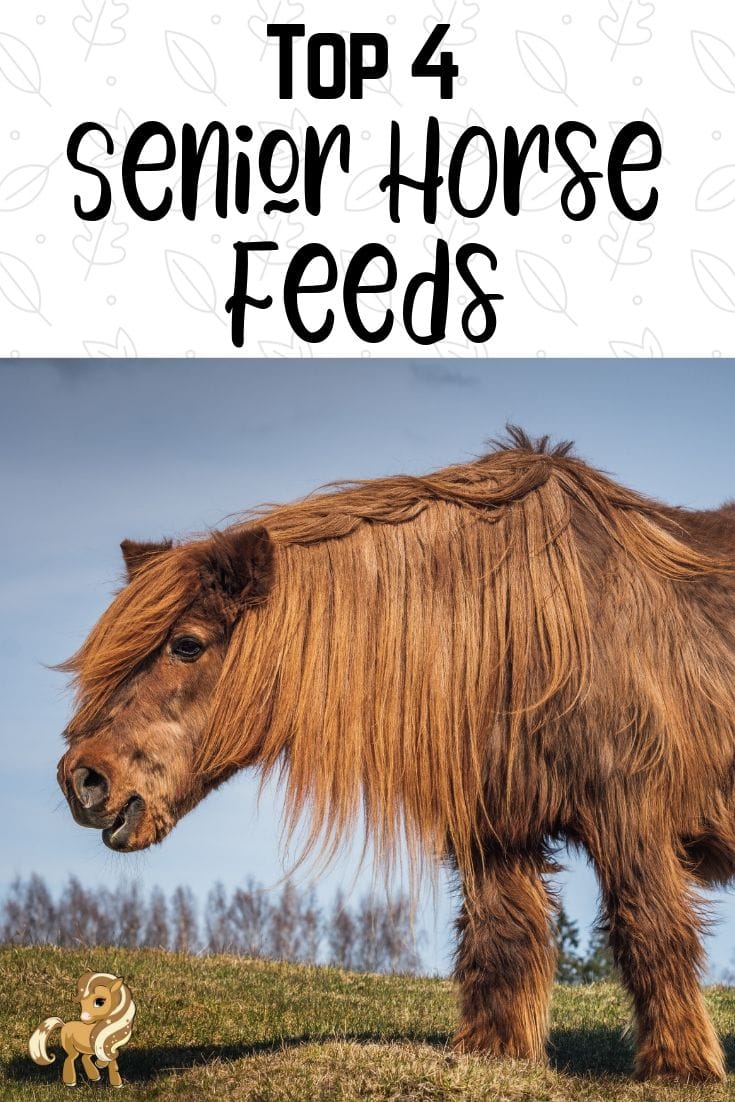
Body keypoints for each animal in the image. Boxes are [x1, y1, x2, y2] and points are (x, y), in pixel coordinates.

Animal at [56, 427, 735, 1082]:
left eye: (188, 645)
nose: (83, 779)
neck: (521, 632)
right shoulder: (496, 832)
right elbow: (501, 938)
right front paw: (493, 1056)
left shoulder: (631, 818)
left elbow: (649, 931)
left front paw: (680, 1067)